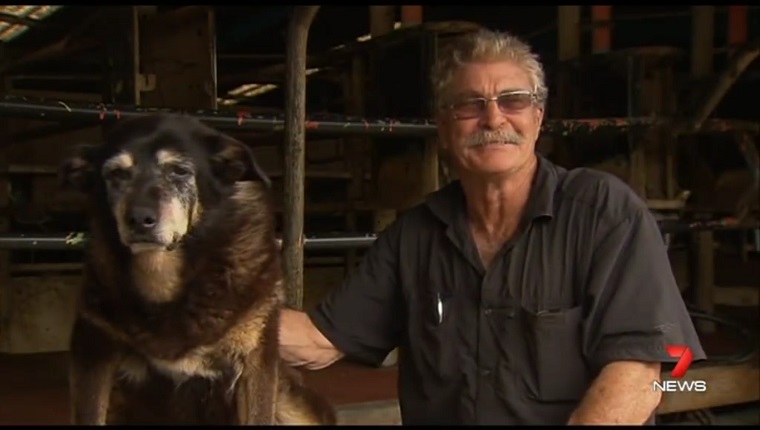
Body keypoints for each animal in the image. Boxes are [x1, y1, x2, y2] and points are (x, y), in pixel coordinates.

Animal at [56, 112, 336, 424]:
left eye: (179, 171)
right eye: (116, 174)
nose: (139, 219)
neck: (165, 276)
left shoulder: (256, 357)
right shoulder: (93, 349)